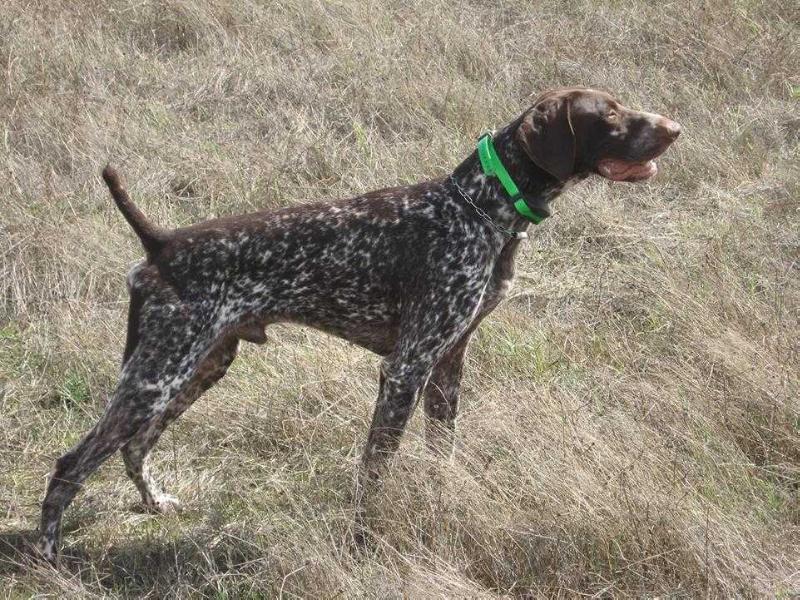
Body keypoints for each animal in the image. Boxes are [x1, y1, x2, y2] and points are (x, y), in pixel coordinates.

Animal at [37, 86, 680, 560]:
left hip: (200, 367)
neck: (477, 206)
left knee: (135, 445)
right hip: (159, 375)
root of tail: (162, 242)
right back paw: (47, 555)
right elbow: (375, 471)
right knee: (71, 465)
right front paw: (365, 541)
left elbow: (440, 456)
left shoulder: (447, 365)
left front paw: (440, 507)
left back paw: (152, 504)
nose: (675, 128)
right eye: (610, 114)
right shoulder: (405, 369)